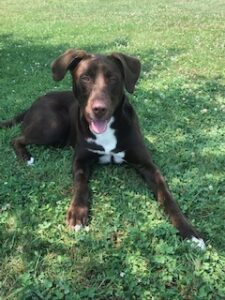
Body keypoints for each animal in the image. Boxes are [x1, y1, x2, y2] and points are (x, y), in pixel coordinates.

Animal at [0, 49, 205, 250]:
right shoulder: (80, 161)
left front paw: (189, 232)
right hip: (53, 126)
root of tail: (34, 103)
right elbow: (80, 185)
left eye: (113, 78)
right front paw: (77, 213)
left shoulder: (147, 165)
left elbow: (167, 197)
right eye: (85, 78)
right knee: (16, 139)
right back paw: (26, 157)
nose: (99, 109)